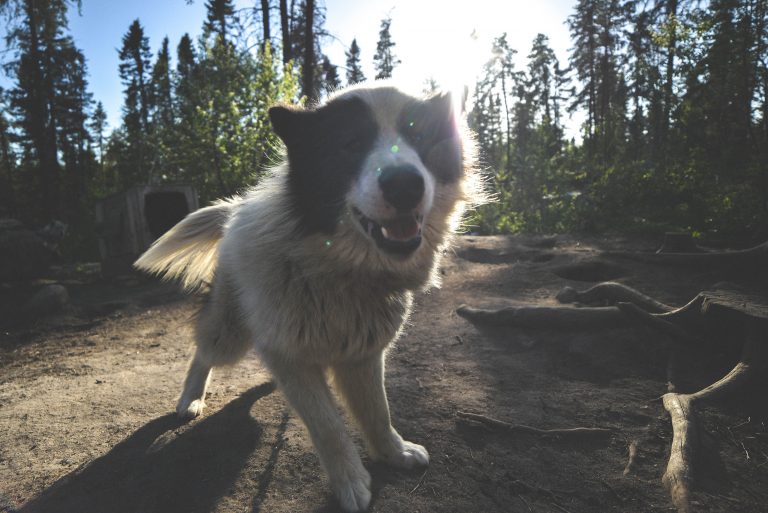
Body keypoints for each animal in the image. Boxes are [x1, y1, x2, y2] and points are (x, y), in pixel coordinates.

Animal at [135, 85, 476, 512]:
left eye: (419, 137)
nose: (404, 185)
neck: (336, 270)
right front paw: (351, 482)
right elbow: (327, 424)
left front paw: (394, 453)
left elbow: (377, 410)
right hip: (230, 332)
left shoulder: (363, 353)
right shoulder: (294, 357)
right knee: (203, 352)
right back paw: (191, 400)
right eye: (350, 144)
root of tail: (234, 213)